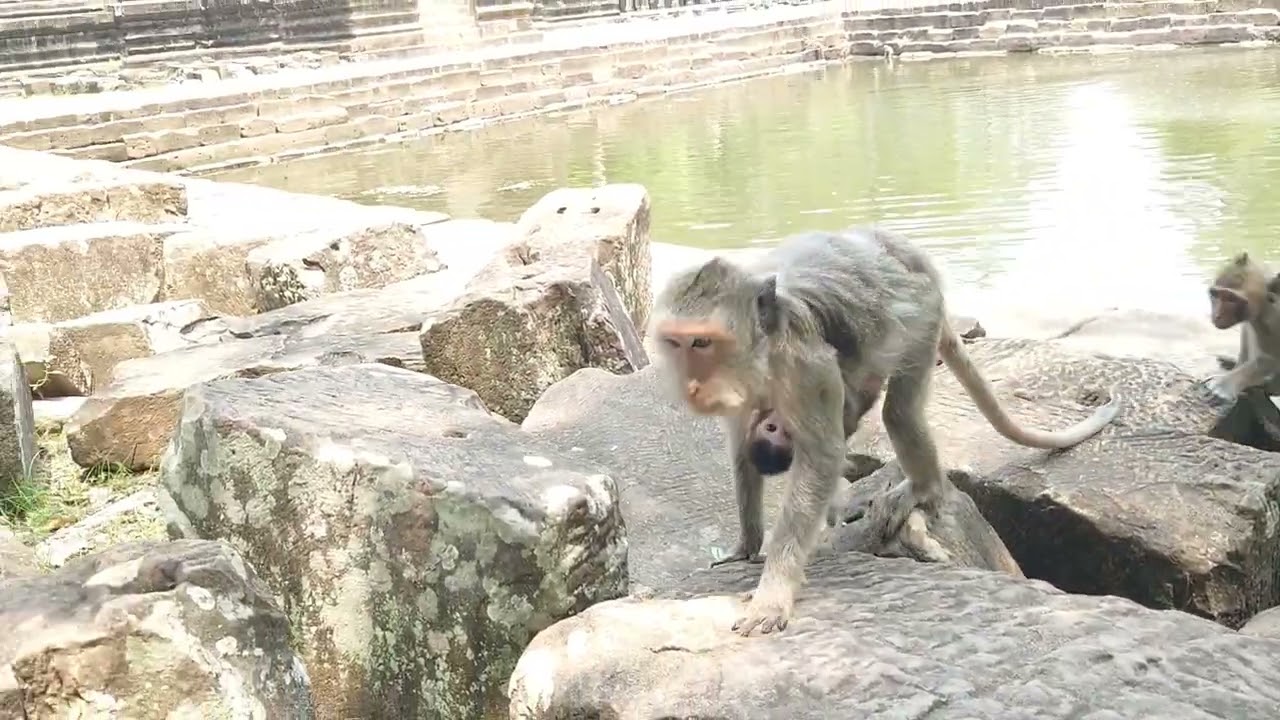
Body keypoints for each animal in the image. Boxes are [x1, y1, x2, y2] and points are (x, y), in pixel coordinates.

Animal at [648, 226, 1121, 638]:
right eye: (675, 343)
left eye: (702, 343)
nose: (690, 386)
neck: (766, 346)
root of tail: (910, 257)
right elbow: (742, 455)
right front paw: (747, 544)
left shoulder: (807, 369)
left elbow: (821, 457)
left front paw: (773, 593)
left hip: (923, 318)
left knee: (900, 414)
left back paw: (924, 487)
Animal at [1204, 252, 1280, 404]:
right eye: (1215, 294)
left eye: (1231, 299)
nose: (1217, 315)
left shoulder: (1272, 320)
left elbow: (1270, 359)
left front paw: (1224, 385)